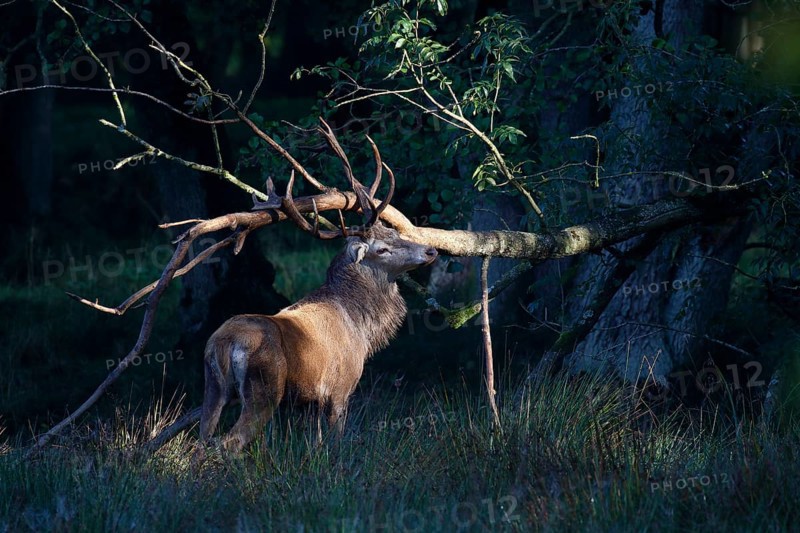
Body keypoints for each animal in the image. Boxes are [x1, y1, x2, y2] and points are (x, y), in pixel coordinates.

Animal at [199, 123, 438, 453]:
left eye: (393, 232)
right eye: (382, 249)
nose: (430, 251)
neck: (362, 329)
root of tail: (223, 343)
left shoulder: (309, 402)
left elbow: (316, 444)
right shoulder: (341, 389)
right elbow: (335, 442)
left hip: (212, 388)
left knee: (201, 441)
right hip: (264, 388)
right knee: (229, 442)